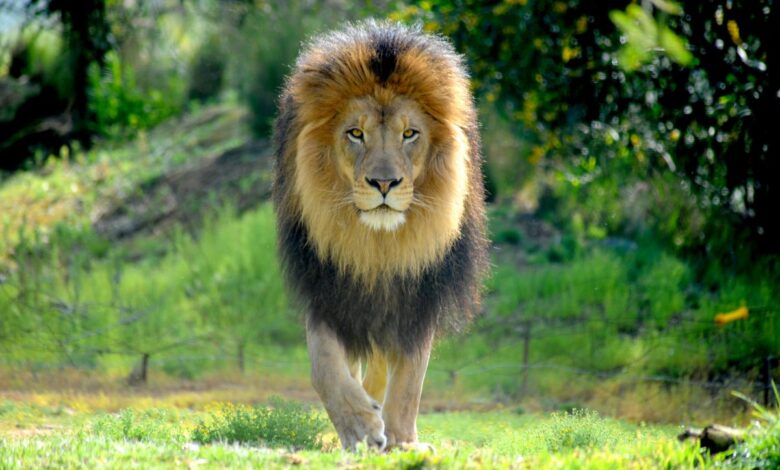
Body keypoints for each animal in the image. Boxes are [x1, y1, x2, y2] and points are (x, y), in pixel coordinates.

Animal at [272, 20, 488, 451]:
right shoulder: (327, 285)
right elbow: (325, 365)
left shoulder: (420, 293)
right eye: (356, 133)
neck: (378, 246)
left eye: (410, 134)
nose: (384, 183)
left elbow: (409, 379)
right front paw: (359, 426)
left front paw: (402, 440)